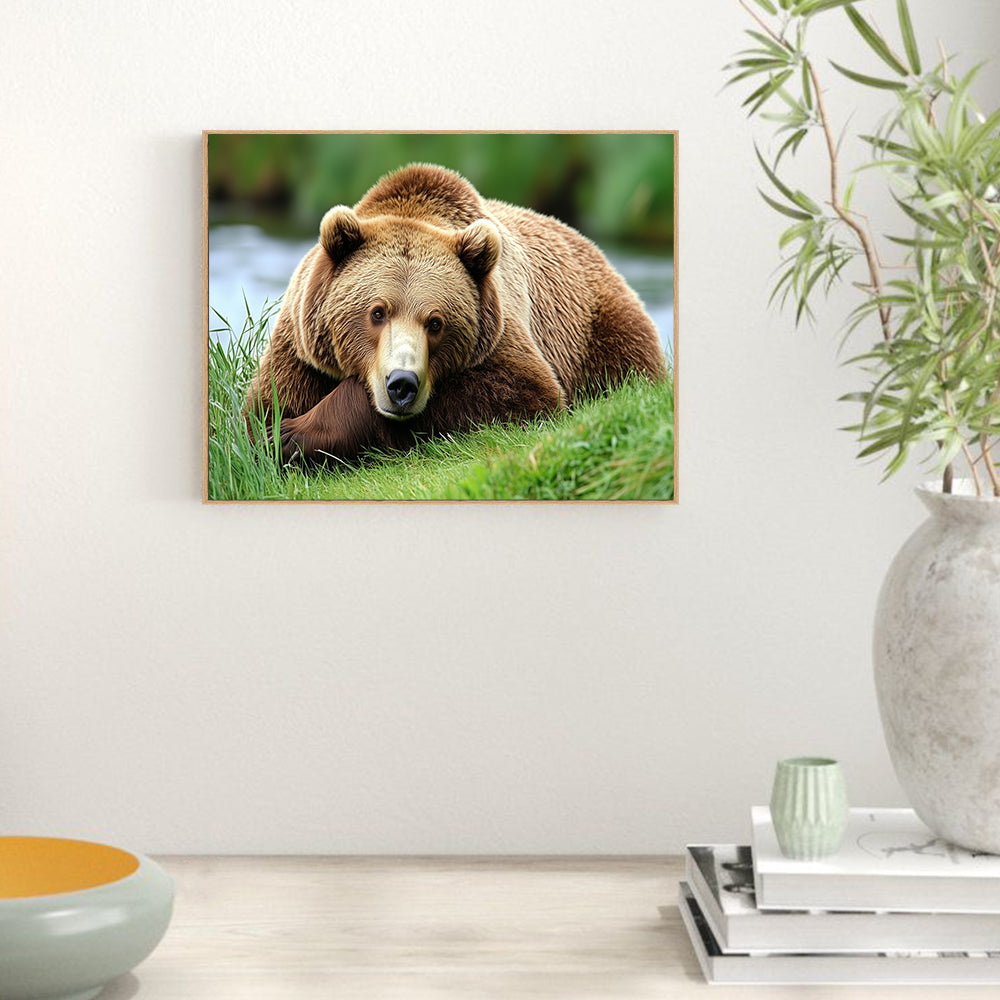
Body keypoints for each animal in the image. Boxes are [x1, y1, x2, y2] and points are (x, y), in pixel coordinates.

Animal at [244, 163, 667, 463]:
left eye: (436, 322)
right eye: (377, 313)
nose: (401, 384)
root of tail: (595, 248)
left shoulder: (498, 330)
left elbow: (522, 390)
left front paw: (293, 433)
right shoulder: (302, 347)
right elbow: (262, 407)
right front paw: (273, 434)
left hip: (597, 326)